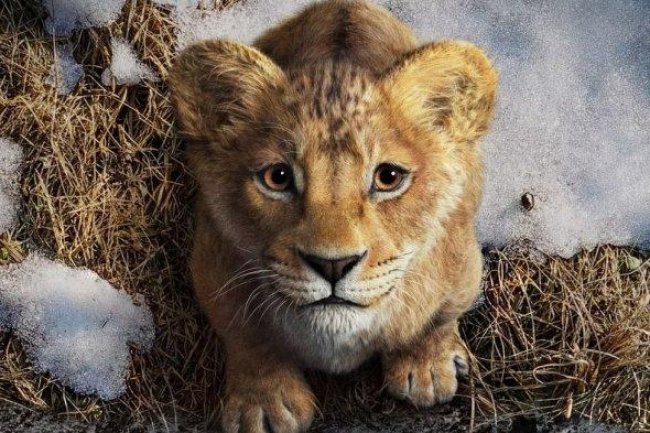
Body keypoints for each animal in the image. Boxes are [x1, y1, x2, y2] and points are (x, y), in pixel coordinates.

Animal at [168, 0, 497, 432]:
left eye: (388, 177)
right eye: (277, 177)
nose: (333, 265)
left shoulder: (461, 264)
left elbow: (436, 318)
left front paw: (426, 368)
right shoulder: (213, 262)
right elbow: (246, 336)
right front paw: (265, 402)